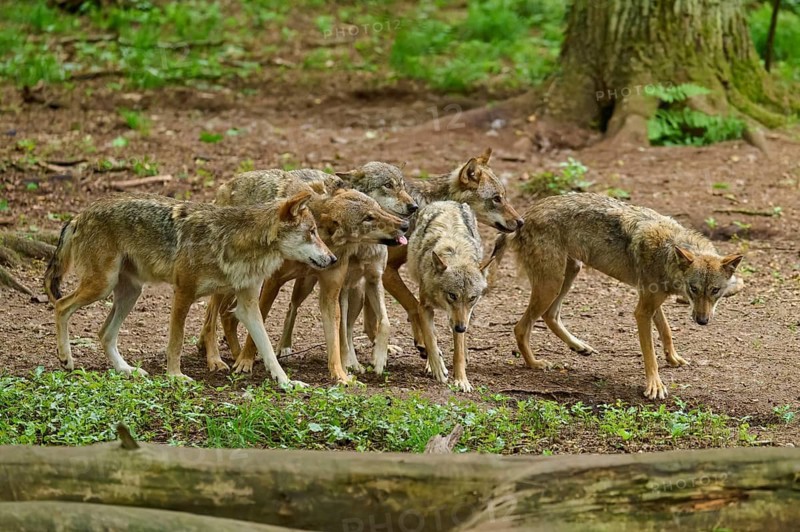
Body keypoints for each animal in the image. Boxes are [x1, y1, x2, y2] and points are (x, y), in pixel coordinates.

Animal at [43, 190, 335, 386]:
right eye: (312, 232)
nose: (332, 259)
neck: (235, 241)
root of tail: (79, 215)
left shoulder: (248, 307)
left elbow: (267, 350)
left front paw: (286, 382)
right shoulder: (183, 293)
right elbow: (176, 341)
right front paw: (175, 376)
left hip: (129, 293)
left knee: (104, 333)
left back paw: (127, 370)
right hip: (102, 286)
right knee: (61, 306)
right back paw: (66, 359)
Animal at [198, 167, 410, 384]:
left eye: (378, 208)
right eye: (368, 218)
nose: (405, 225)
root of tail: (227, 183)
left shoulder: (331, 294)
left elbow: (335, 340)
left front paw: (341, 375)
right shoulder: (273, 283)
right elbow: (259, 322)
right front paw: (246, 361)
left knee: (228, 314)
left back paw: (235, 353)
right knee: (212, 317)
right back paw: (216, 359)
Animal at [407, 201, 493, 392]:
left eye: (472, 298)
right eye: (452, 295)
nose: (461, 328)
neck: (455, 251)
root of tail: (447, 201)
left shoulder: (460, 318)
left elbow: (458, 352)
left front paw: (461, 380)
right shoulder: (424, 307)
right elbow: (431, 339)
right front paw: (437, 368)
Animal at [491, 193, 744, 399]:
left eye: (715, 291)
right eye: (694, 288)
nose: (702, 321)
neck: (667, 251)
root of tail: (524, 216)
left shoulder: (652, 301)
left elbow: (666, 331)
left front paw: (673, 358)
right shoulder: (642, 311)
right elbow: (650, 354)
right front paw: (655, 386)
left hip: (569, 274)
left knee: (550, 316)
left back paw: (579, 346)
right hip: (551, 284)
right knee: (521, 327)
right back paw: (534, 363)